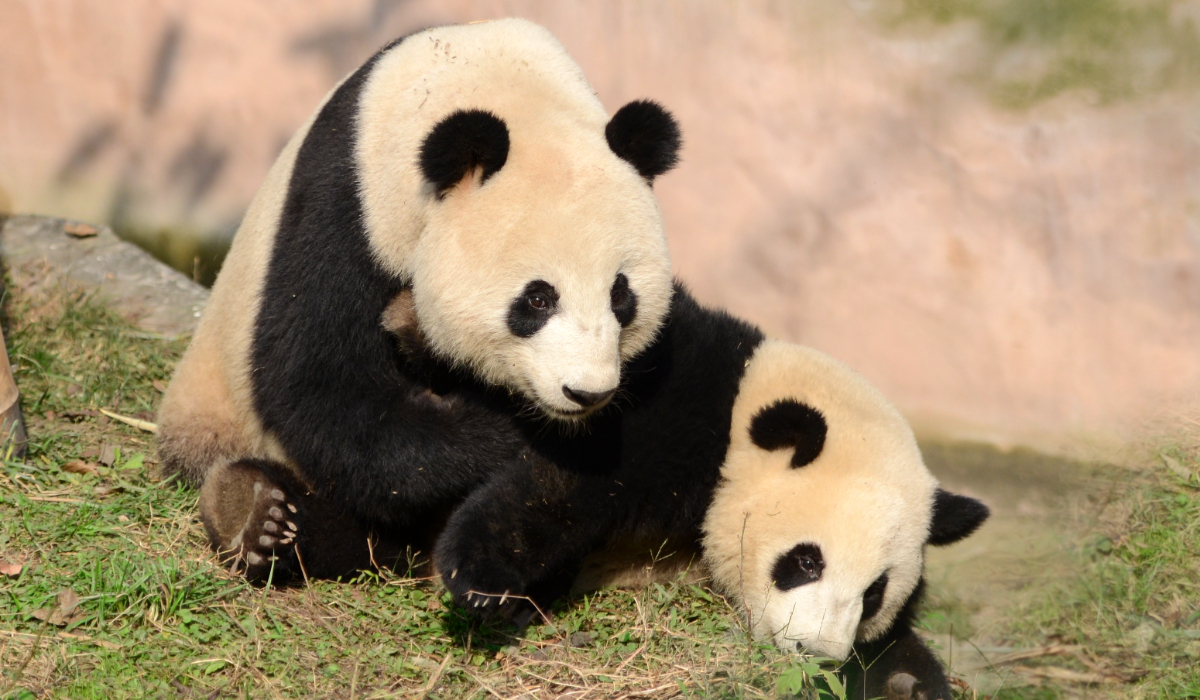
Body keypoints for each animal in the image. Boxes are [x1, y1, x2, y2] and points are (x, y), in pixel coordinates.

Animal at [155, 18, 683, 563]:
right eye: (537, 299)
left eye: (620, 296)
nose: (586, 393)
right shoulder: (347, 209)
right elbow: (326, 395)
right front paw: (506, 431)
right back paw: (254, 511)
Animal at [207, 283, 987, 700]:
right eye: (805, 561)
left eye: (875, 593)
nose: (814, 651)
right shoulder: (671, 408)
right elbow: (564, 484)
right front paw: (483, 579)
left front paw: (903, 682)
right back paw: (253, 510)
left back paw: (260, 514)